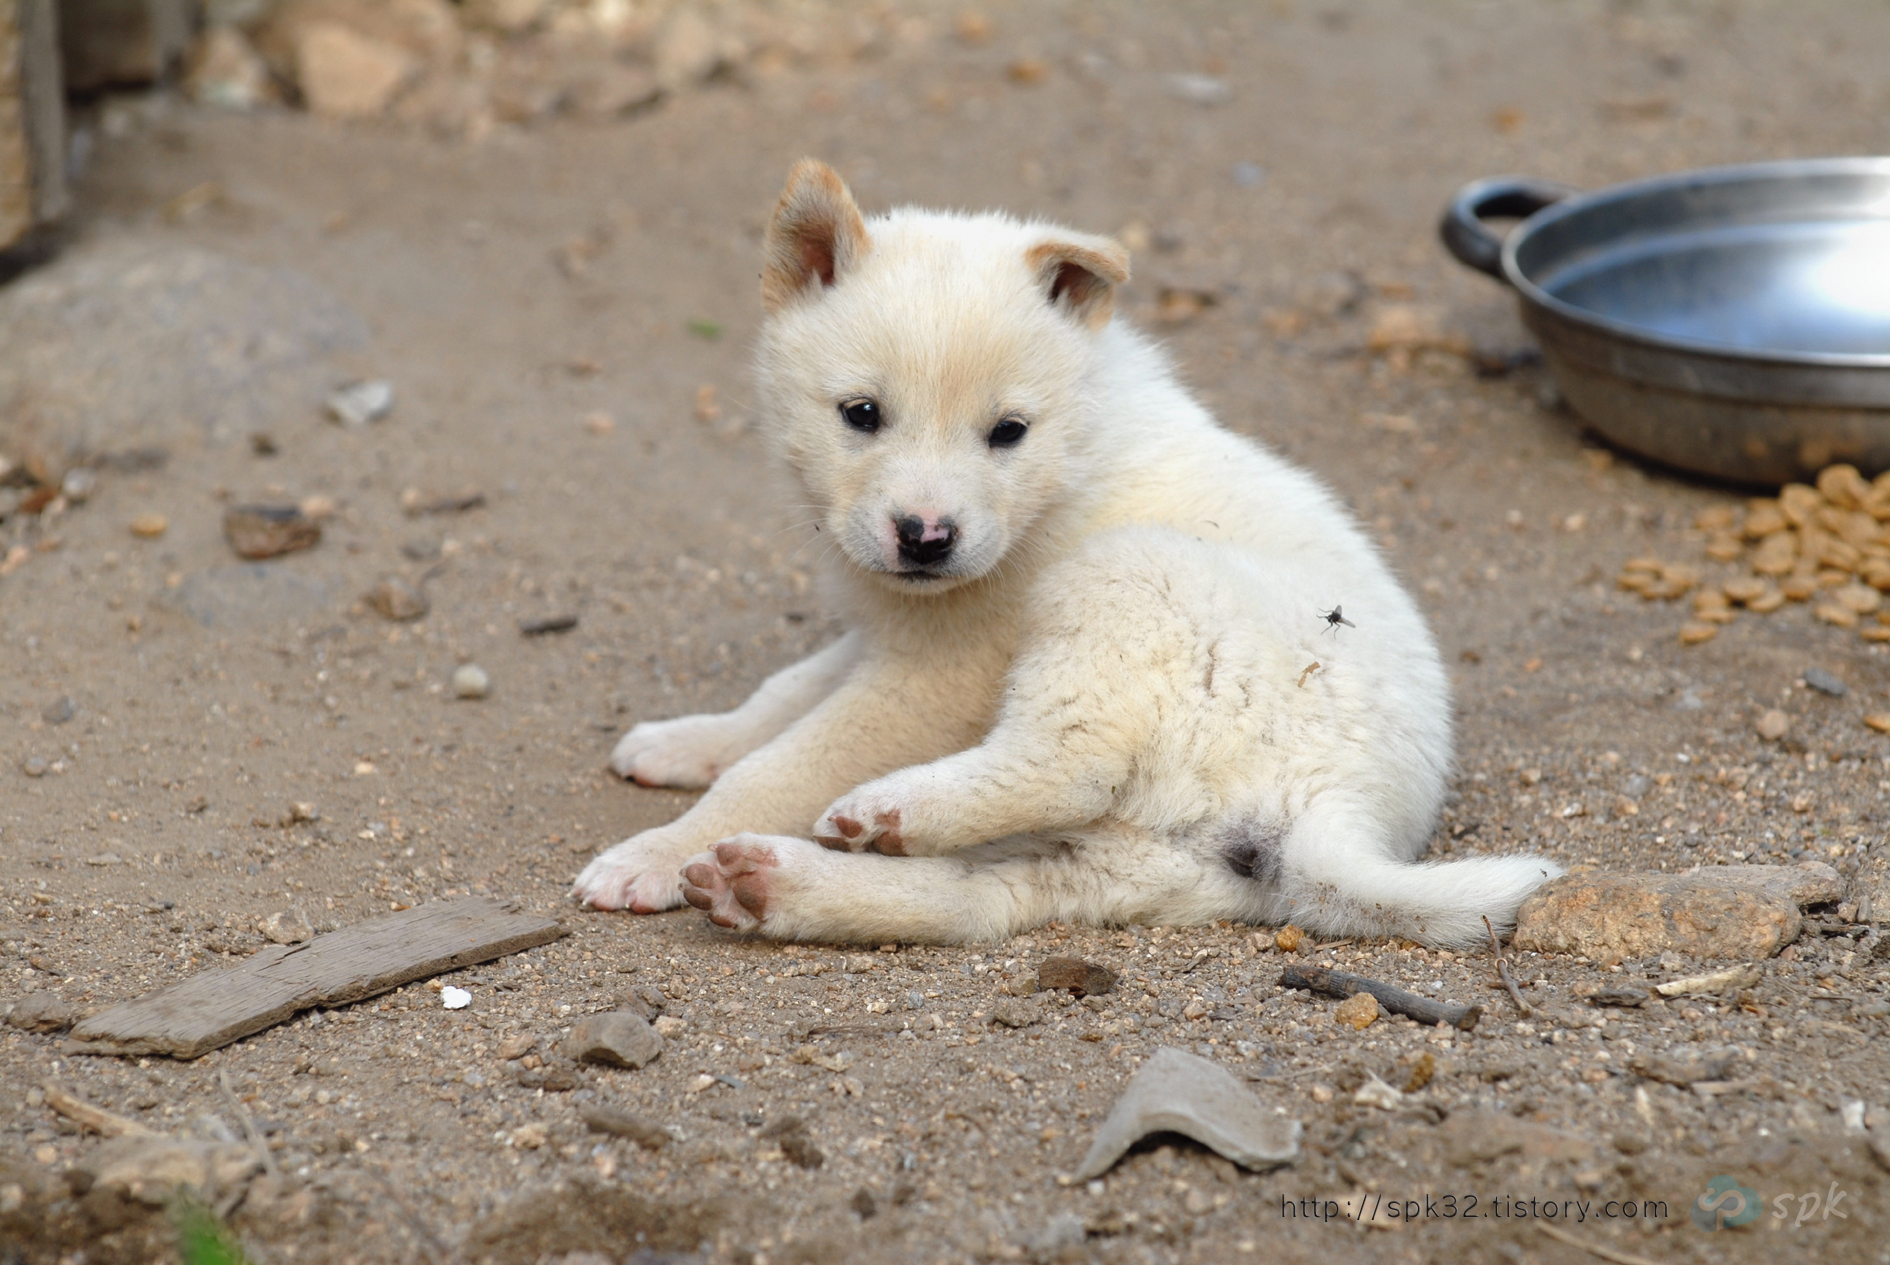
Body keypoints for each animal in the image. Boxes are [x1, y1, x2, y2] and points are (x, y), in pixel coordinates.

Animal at [567, 157, 1557, 941]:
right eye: (861, 414)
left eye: (1008, 431)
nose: (927, 538)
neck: (1067, 467)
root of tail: (1339, 812)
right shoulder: (891, 629)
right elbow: (781, 695)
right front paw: (687, 740)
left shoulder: (935, 675)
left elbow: (785, 760)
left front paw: (653, 851)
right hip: (1124, 864)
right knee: (976, 899)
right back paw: (782, 882)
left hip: (1127, 582)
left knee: (1069, 762)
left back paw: (889, 806)